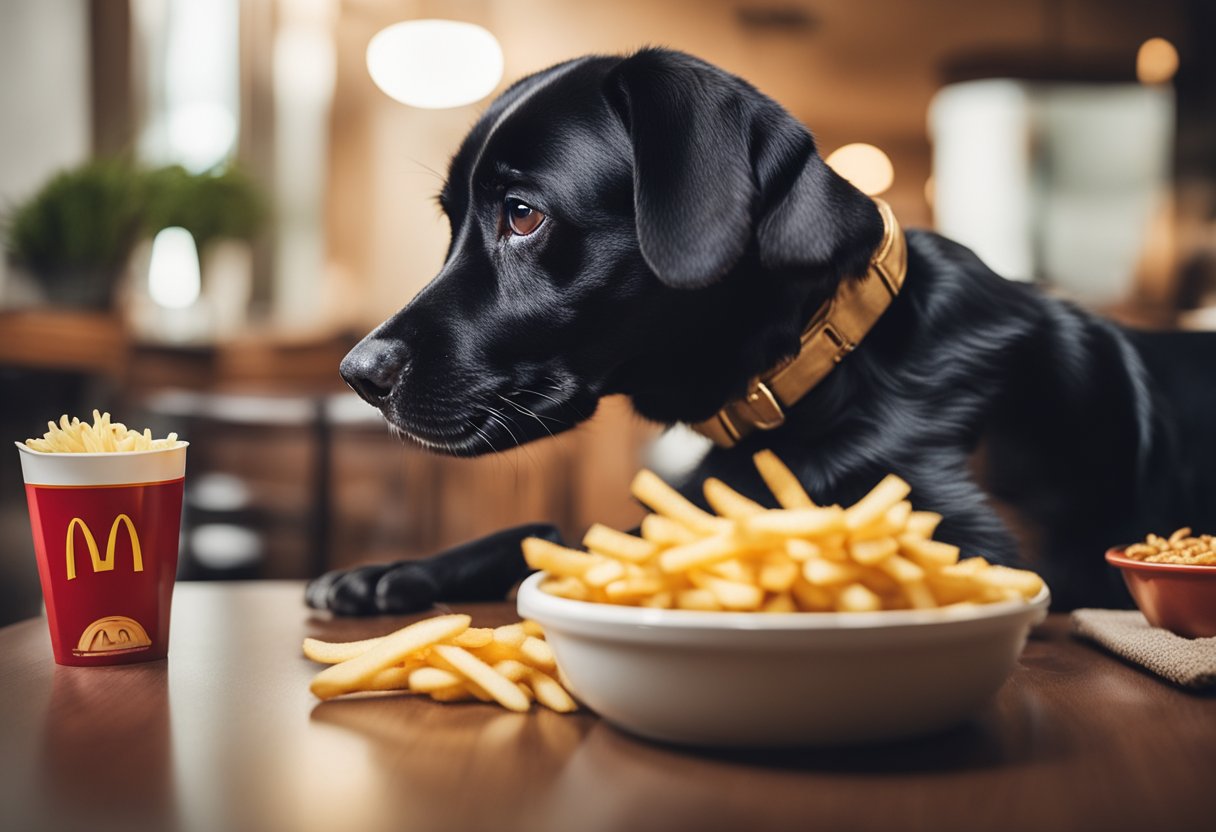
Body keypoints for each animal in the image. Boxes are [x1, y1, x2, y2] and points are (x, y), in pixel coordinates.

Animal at [308, 48, 1216, 613]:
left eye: (523, 214)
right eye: (450, 220)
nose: (357, 372)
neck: (820, 375)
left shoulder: (992, 552)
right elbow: (548, 530)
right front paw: (396, 571)